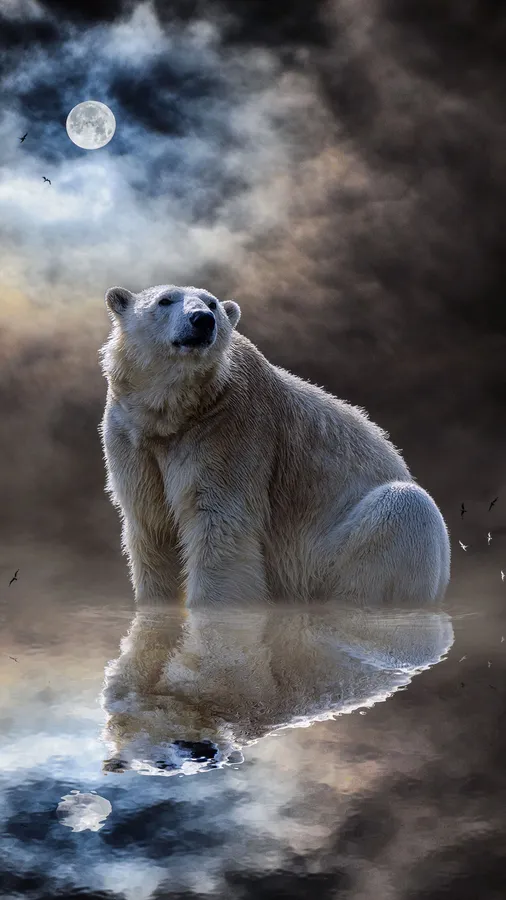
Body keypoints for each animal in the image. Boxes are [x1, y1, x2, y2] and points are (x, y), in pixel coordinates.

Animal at [99, 283, 450, 608]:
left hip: (328, 555)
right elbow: (151, 525)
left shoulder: (230, 431)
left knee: (406, 507)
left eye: (212, 303)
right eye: (164, 300)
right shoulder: (130, 436)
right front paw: (155, 603)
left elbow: (221, 524)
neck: (174, 414)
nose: (202, 320)